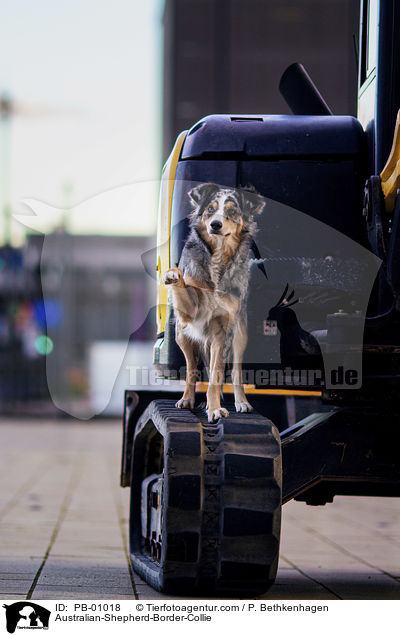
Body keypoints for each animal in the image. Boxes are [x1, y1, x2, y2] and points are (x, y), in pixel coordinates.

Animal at [161, 183, 264, 422]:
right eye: (210, 209)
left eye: (232, 211)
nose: (215, 225)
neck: (217, 255)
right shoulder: (190, 314)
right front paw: (173, 275)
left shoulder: (222, 331)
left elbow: (217, 375)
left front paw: (215, 408)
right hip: (182, 336)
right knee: (191, 370)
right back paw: (187, 399)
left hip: (240, 334)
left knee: (235, 371)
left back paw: (241, 401)